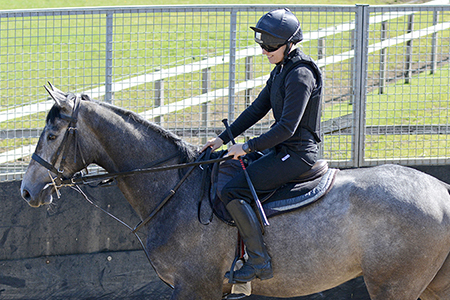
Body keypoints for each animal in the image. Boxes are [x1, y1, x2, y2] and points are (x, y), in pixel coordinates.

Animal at [22, 85, 450, 300]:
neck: (175, 189)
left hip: (395, 287)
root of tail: (442, 193)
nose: (27, 191)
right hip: (433, 285)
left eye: (53, 134)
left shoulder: (196, 288)